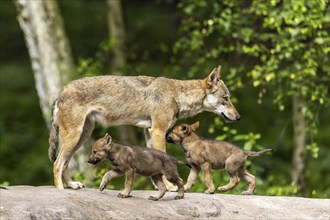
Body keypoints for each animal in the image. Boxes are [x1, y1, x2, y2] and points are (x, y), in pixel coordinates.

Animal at [48, 65, 240, 189]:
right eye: (226, 98)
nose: (238, 117)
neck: (177, 96)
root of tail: (60, 92)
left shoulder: (149, 132)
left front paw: (160, 187)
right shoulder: (158, 131)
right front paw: (171, 187)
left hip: (82, 136)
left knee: (64, 163)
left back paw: (72, 185)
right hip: (75, 136)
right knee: (57, 163)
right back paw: (61, 190)